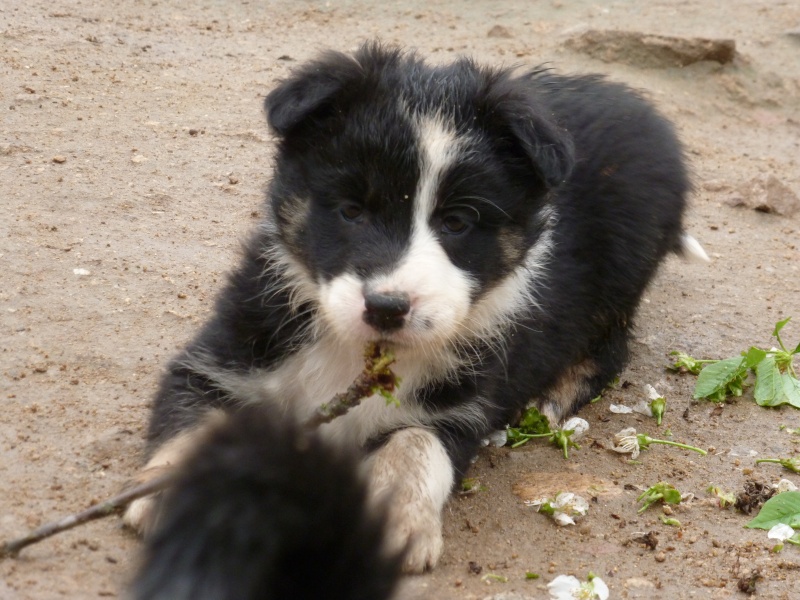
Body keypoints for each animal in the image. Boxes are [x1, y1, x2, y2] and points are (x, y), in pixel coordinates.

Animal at [125, 43, 708, 592]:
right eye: (352, 210)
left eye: (457, 222)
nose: (387, 307)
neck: (356, 352)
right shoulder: (222, 359)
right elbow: (197, 426)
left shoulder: (460, 407)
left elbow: (416, 445)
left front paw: (390, 520)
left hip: (622, 272)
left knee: (611, 348)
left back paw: (552, 398)